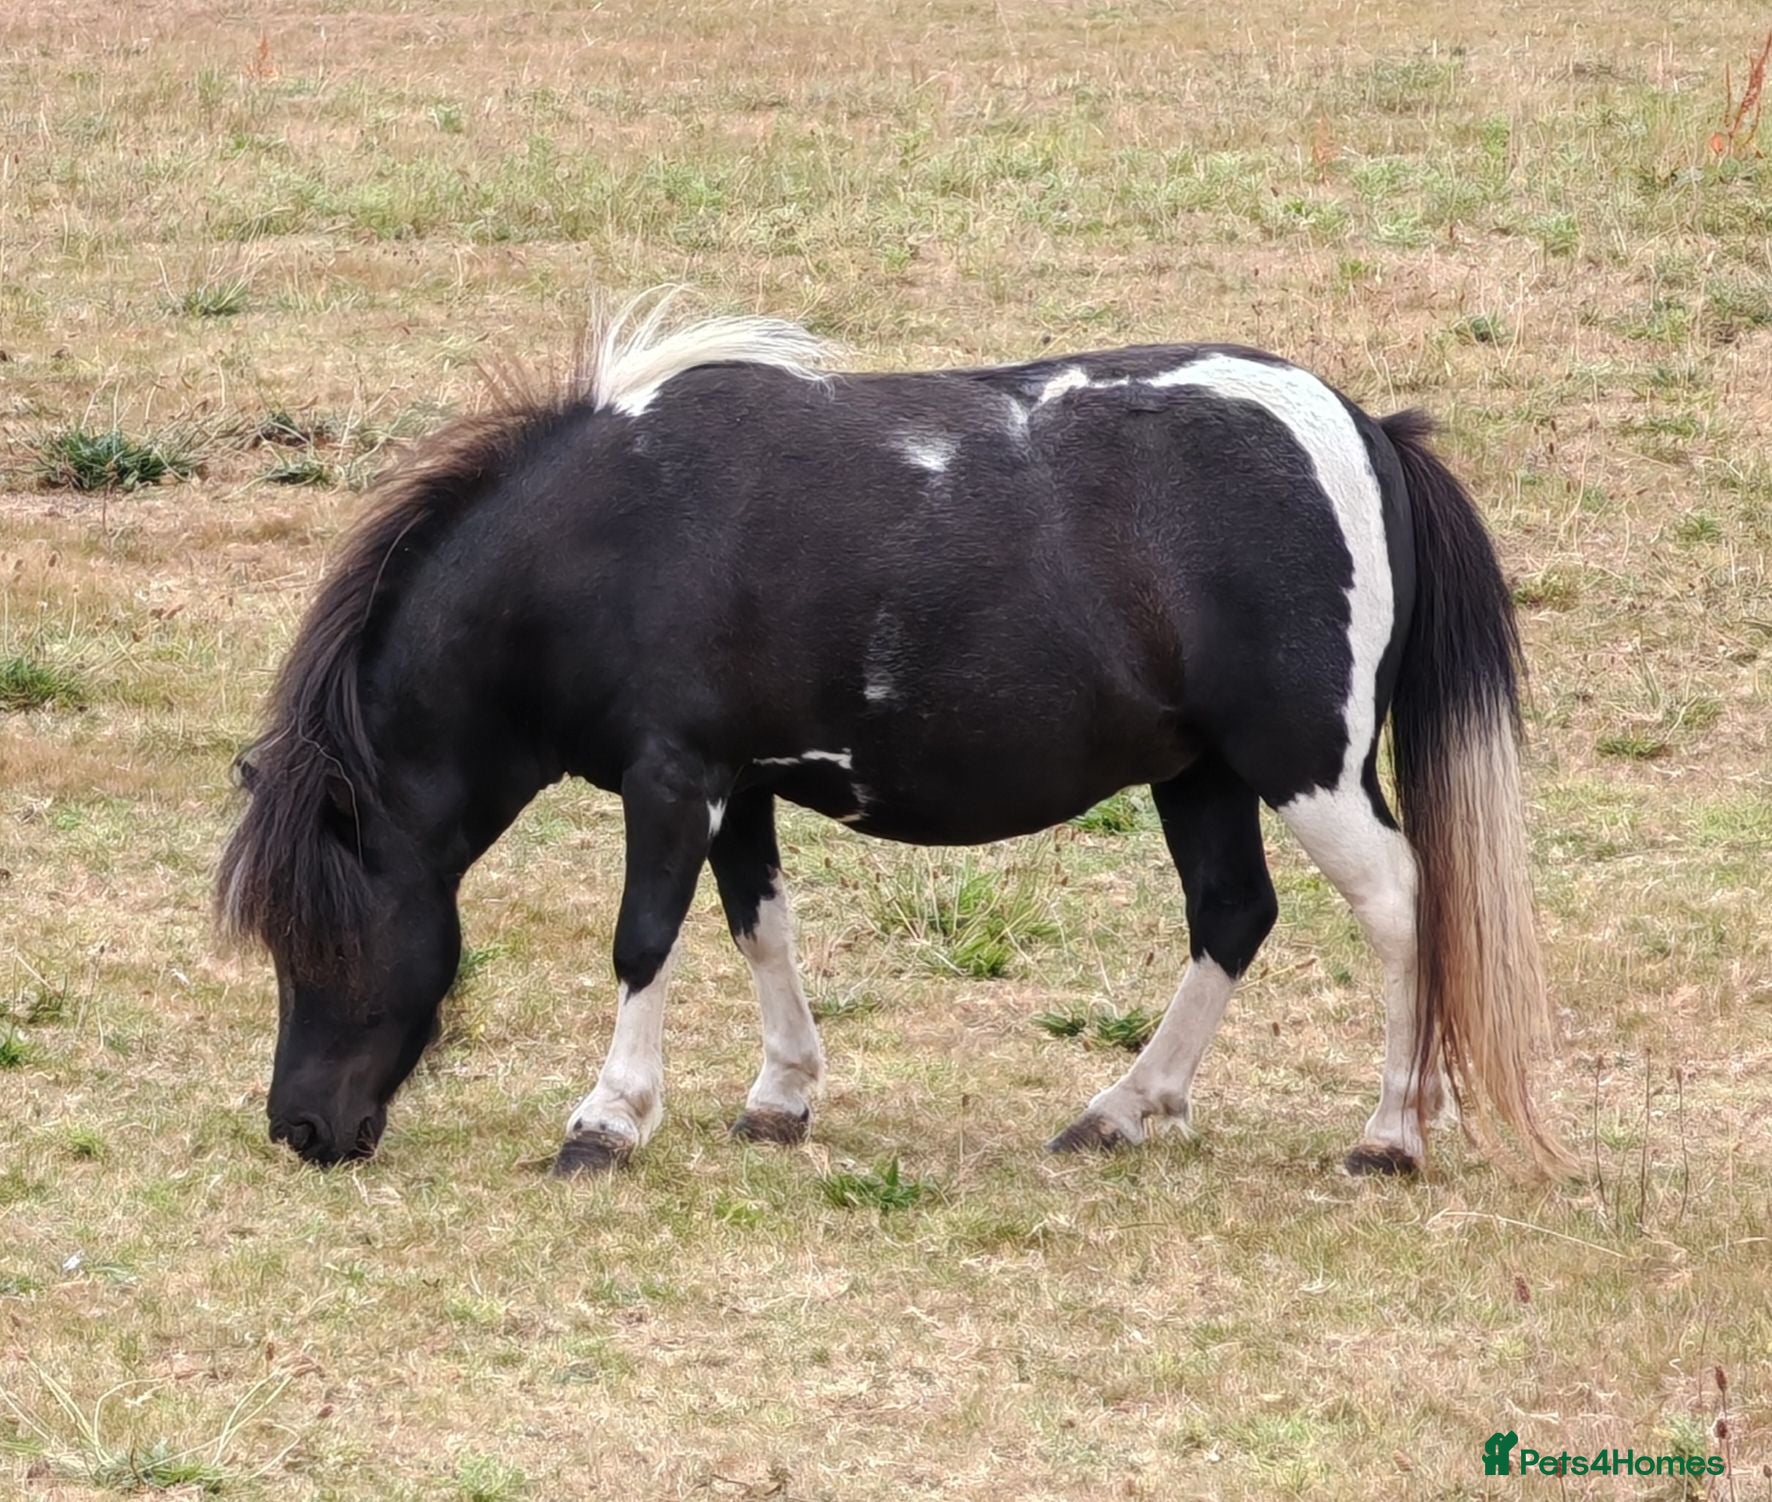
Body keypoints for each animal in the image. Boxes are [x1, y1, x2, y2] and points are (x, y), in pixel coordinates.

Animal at [218, 293, 1573, 1181]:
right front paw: (778, 1097)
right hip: (1197, 774)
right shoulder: (738, 785)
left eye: (326, 934)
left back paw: (1388, 1133)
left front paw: (606, 1119)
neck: (612, 534)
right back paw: (1121, 1109)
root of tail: (1364, 428)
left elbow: (642, 940)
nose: (303, 1127)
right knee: (1231, 915)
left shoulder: (670, 782)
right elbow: (758, 926)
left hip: (1306, 769)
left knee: (1399, 904)